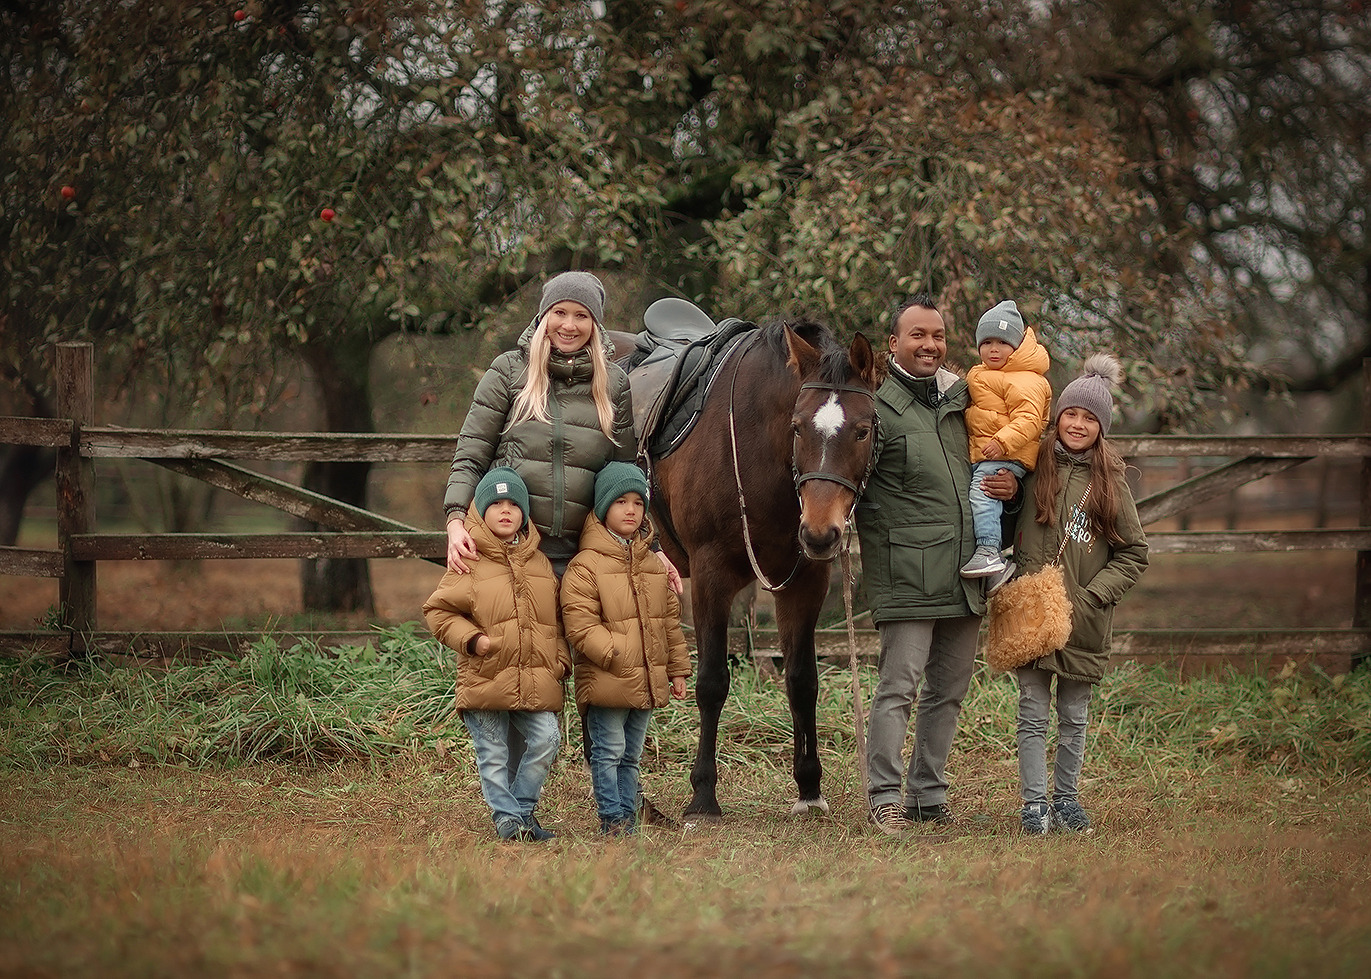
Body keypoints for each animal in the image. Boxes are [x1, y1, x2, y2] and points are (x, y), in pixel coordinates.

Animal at [622, 316, 877, 811]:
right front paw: (703, 796)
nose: (820, 533)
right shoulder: (710, 576)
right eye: (797, 428)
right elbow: (711, 682)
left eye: (862, 430)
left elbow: (802, 680)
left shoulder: (804, 580)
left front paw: (809, 789)